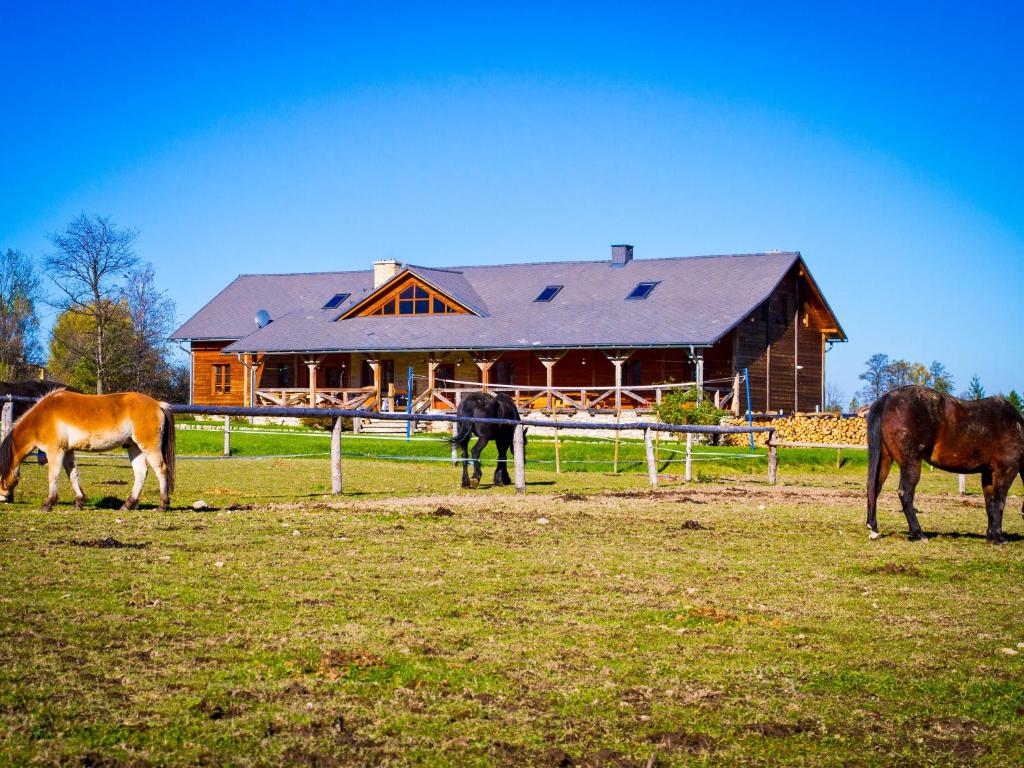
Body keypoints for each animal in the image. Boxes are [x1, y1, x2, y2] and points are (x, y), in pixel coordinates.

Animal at [0, 393, 176, 514]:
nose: (2, 498)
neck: (42, 417)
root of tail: (158, 404)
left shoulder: (55, 451)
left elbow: (53, 476)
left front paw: (48, 503)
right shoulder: (67, 451)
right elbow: (73, 475)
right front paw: (79, 501)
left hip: (149, 447)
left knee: (161, 470)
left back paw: (162, 505)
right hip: (134, 448)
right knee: (140, 473)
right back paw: (127, 505)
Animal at [864, 387, 1024, 544]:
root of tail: (888, 398)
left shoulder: (988, 474)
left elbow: (990, 503)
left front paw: (991, 536)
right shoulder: (1006, 470)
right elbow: (999, 501)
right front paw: (1000, 537)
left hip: (885, 459)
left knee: (874, 488)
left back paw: (874, 530)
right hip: (911, 463)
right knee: (905, 493)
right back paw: (918, 533)